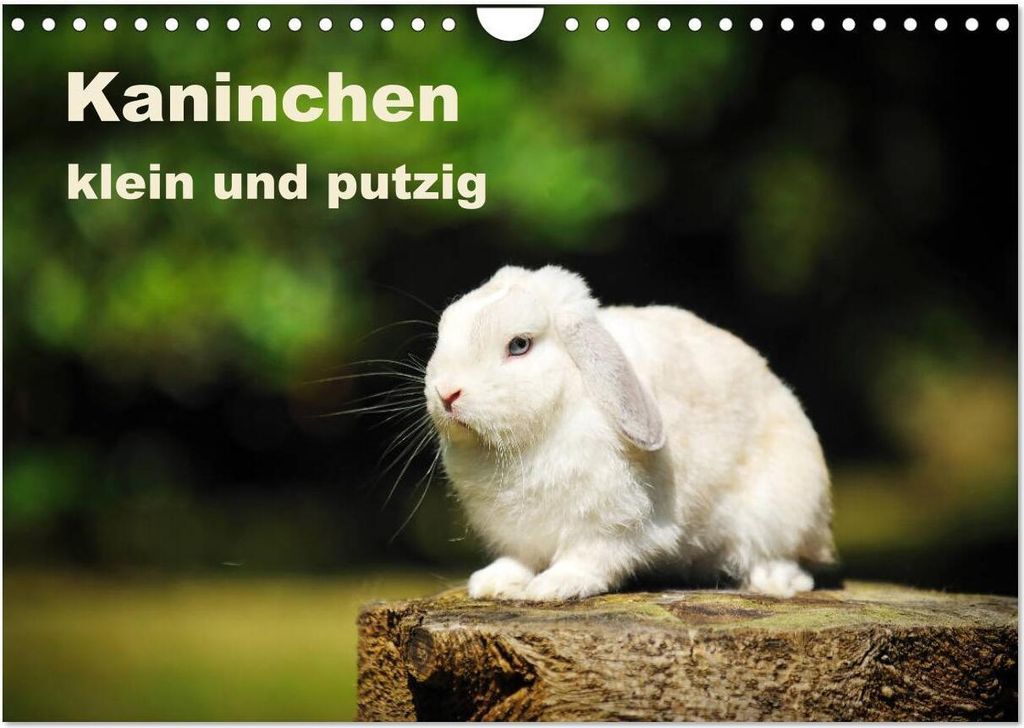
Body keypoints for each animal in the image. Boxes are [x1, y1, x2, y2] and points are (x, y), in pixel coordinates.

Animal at [423, 265, 835, 601]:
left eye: (519, 345)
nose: (447, 393)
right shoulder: (519, 531)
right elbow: (520, 558)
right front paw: (493, 583)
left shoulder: (610, 524)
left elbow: (588, 557)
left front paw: (554, 587)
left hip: (777, 509)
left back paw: (773, 582)